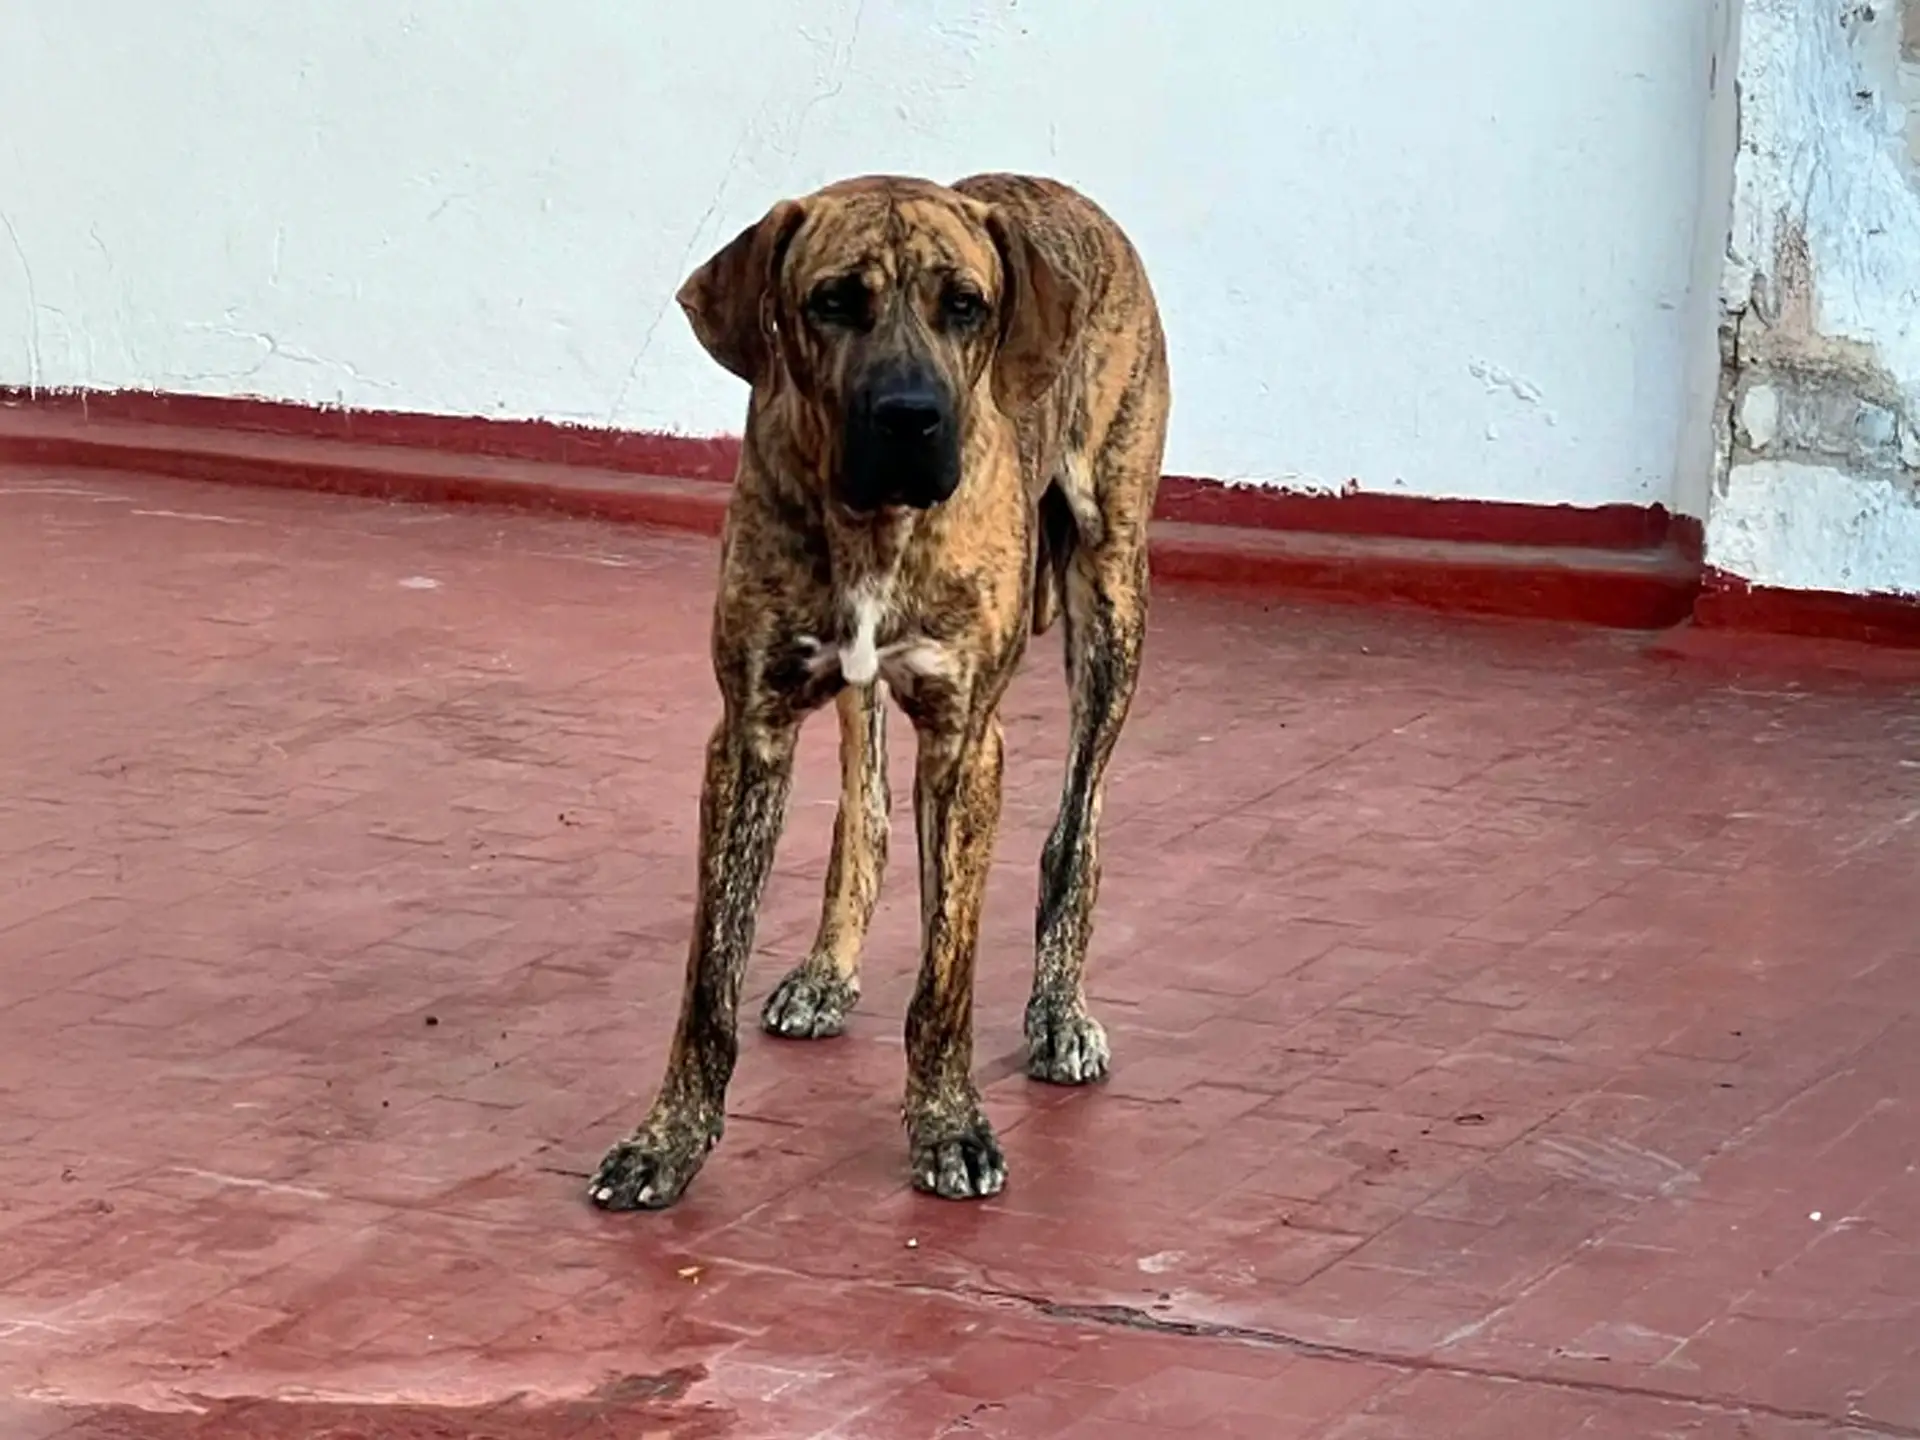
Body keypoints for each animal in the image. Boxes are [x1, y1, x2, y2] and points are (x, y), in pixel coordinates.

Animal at [587, 168, 1167, 1213]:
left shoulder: (968, 745)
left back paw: (1061, 1010)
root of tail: (1057, 190)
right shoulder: (750, 734)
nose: (909, 416)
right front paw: (669, 1140)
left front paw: (950, 1125)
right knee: (866, 813)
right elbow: (708, 978)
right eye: (832, 302)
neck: (873, 523)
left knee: (1076, 830)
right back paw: (828, 970)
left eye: (965, 306)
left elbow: (947, 974)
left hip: (1111, 597)